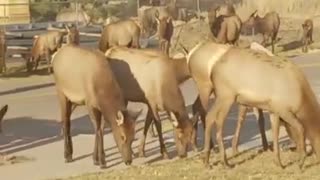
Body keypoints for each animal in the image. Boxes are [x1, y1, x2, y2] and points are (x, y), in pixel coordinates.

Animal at [181, 40, 320, 169]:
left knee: (210, 116)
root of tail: (213, 69)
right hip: (224, 96)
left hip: (221, 96)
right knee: (217, 119)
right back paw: (224, 161)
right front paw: (301, 161)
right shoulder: (283, 109)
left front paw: (279, 162)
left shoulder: (274, 110)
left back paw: (207, 160)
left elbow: (275, 133)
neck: (302, 98)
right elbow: (301, 128)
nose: (312, 153)